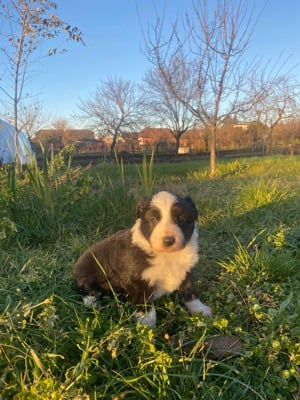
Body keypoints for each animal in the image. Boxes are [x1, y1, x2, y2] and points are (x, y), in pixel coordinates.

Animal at [74, 191, 212, 324]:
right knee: (84, 289)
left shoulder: (186, 271)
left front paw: (201, 310)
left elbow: (189, 292)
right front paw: (146, 325)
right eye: (153, 219)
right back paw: (93, 303)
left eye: (181, 219)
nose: (168, 240)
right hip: (89, 273)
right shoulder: (139, 281)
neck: (167, 255)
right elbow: (145, 304)